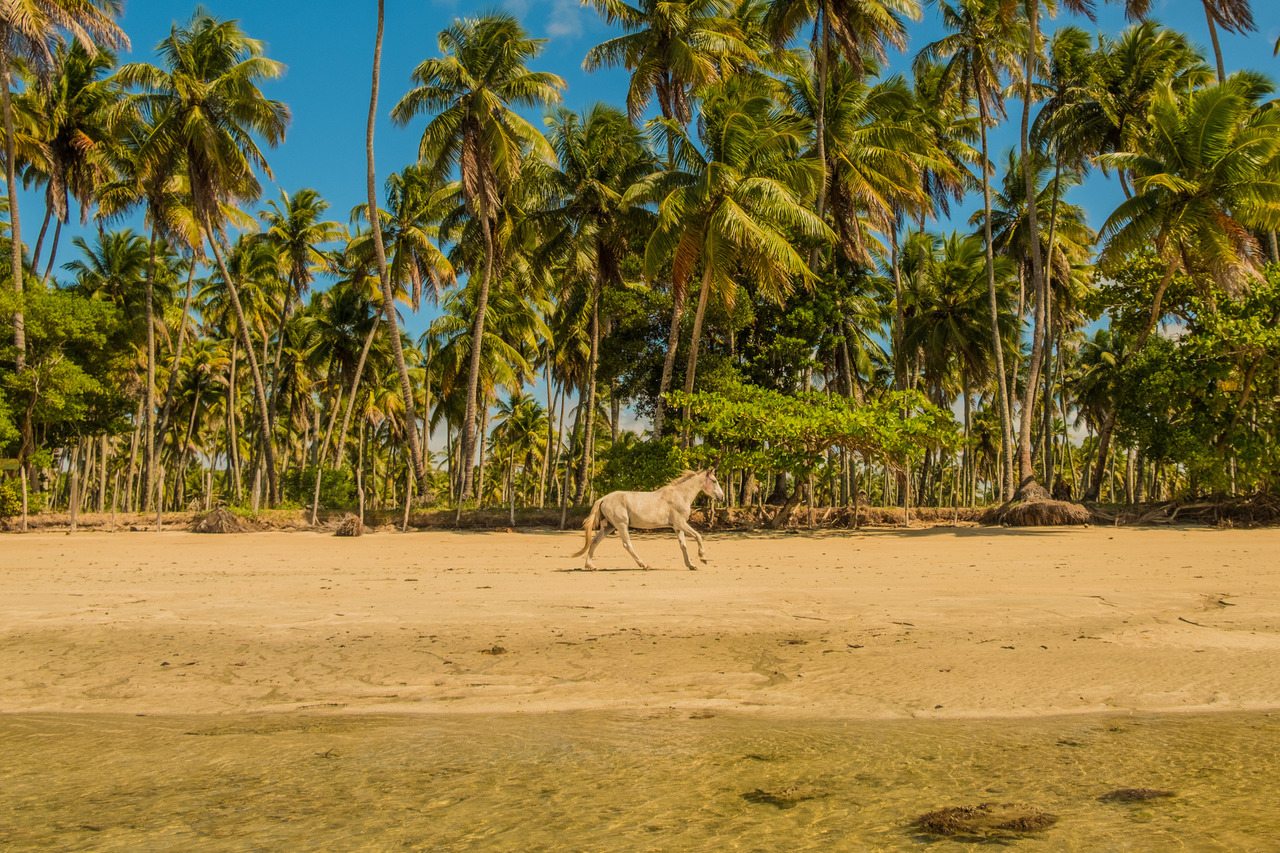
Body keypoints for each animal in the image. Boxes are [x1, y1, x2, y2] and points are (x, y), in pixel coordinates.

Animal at [572, 470, 726, 571]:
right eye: (714, 481)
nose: (722, 497)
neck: (680, 495)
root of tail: (603, 498)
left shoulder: (677, 527)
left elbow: (683, 545)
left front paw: (691, 565)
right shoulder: (681, 523)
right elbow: (698, 536)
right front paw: (703, 558)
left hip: (608, 527)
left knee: (594, 542)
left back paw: (591, 566)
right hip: (621, 525)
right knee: (627, 544)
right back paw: (644, 565)